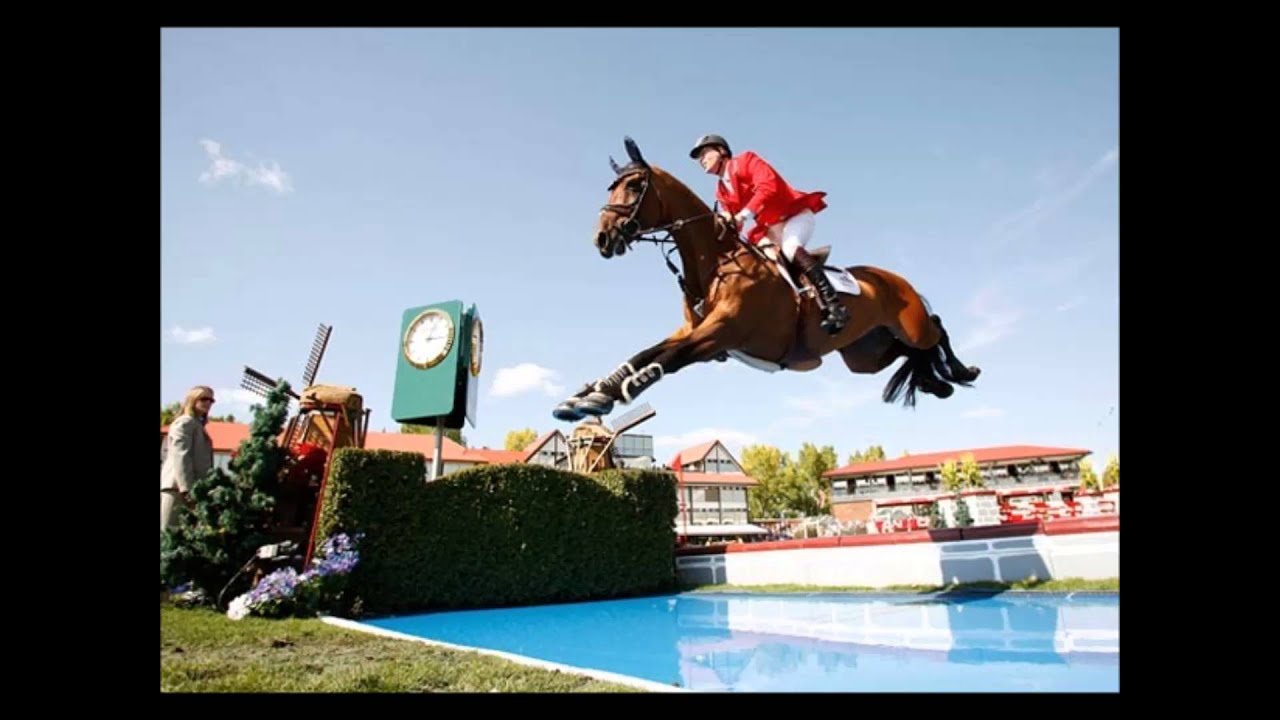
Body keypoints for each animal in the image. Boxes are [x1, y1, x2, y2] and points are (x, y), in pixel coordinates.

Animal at [550, 135, 977, 420]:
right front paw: (588, 396)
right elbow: (642, 355)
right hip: (865, 355)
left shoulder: (719, 334)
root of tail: (893, 278)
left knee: (934, 329)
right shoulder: (693, 329)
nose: (602, 239)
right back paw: (936, 383)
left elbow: (666, 360)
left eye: (635, 185)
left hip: (911, 324)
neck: (715, 262)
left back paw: (961, 370)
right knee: (908, 353)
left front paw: (604, 397)